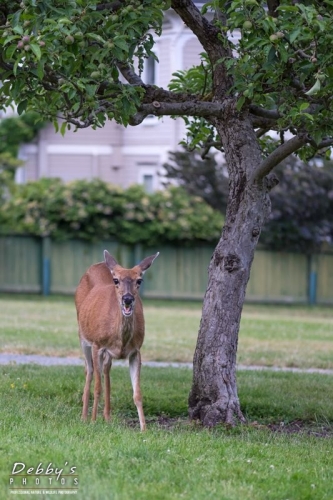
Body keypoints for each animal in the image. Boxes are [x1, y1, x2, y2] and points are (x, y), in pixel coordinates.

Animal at [75, 250, 158, 430]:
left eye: (139, 280)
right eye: (116, 280)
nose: (127, 299)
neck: (121, 340)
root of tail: (98, 264)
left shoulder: (136, 351)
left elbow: (137, 393)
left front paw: (144, 429)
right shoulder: (97, 344)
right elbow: (97, 387)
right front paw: (93, 421)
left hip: (107, 353)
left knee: (106, 370)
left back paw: (107, 417)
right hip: (83, 336)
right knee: (89, 370)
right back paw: (84, 417)